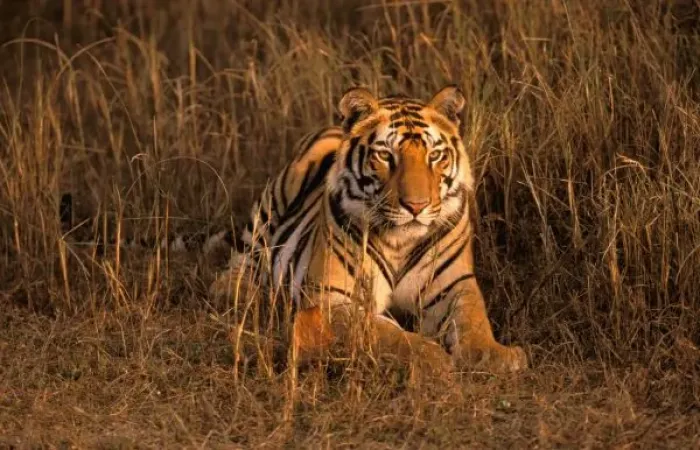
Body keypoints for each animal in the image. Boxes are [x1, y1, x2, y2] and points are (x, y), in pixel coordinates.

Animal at [209, 85, 529, 375]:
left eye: (435, 156)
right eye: (386, 156)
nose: (416, 206)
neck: (401, 242)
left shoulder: (455, 285)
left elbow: (473, 318)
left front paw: (496, 354)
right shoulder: (334, 300)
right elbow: (389, 334)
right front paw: (433, 357)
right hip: (269, 209)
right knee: (241, 261)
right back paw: (244, 295)